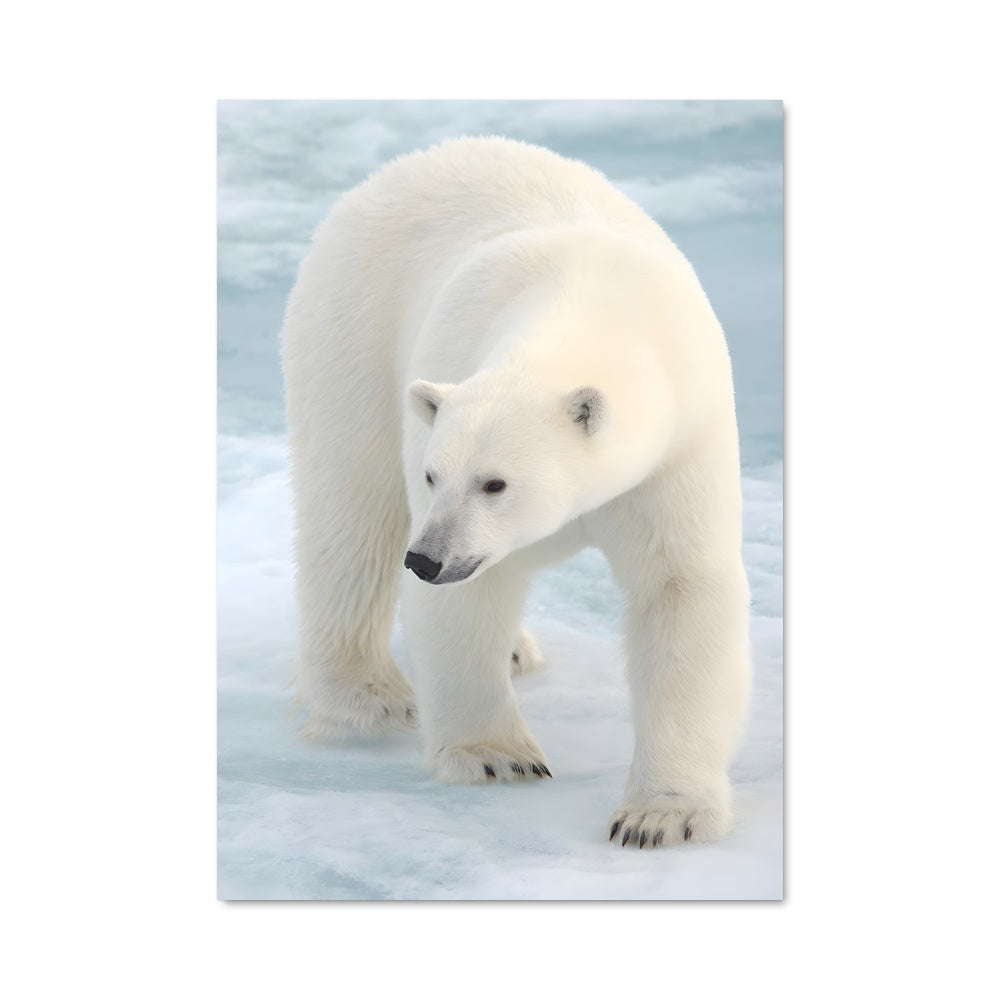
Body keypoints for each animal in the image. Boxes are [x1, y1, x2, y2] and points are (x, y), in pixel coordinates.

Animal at [280, 137, 751, 848]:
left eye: (495, 482)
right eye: (433, 475)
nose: (426, 559)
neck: (589, 306)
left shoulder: (678, 445)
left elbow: (681, 586)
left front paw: (658, 816)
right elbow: (468, 598)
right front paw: (497, 756)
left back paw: (515, 649)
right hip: (353, 327)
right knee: (353, 508)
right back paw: (368, 696)